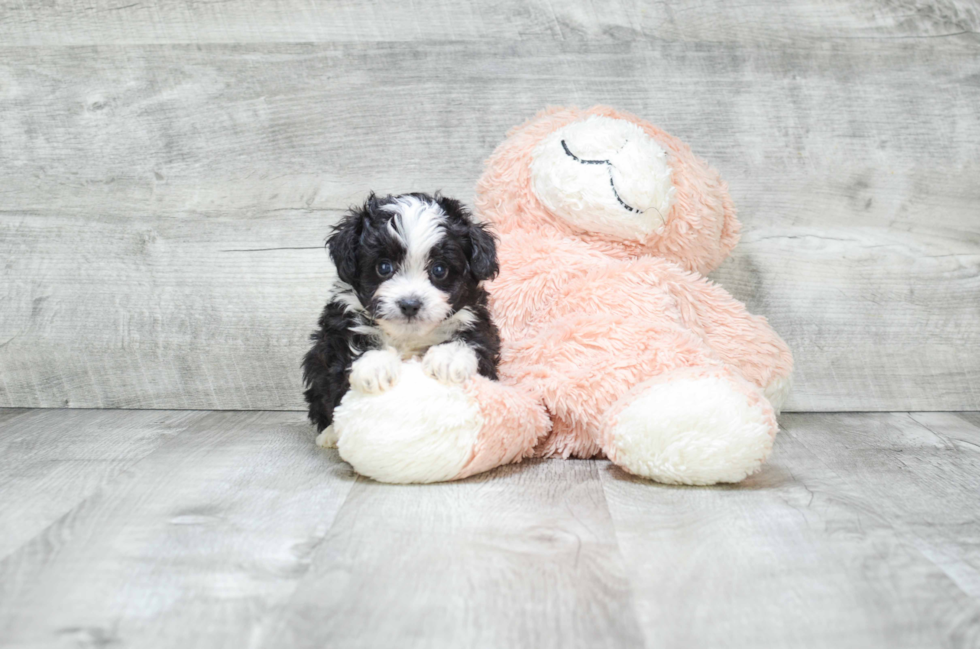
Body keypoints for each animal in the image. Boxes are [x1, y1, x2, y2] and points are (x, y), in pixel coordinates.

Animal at [302, 191, 502, 446]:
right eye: (383, 267)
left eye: (439, 270)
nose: (410, 304)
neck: (408, 337)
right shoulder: (337, 329)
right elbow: (351, 349)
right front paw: (375, 366)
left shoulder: (478, 321)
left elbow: (474, 339)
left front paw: (448, 359)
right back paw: (328, 434)